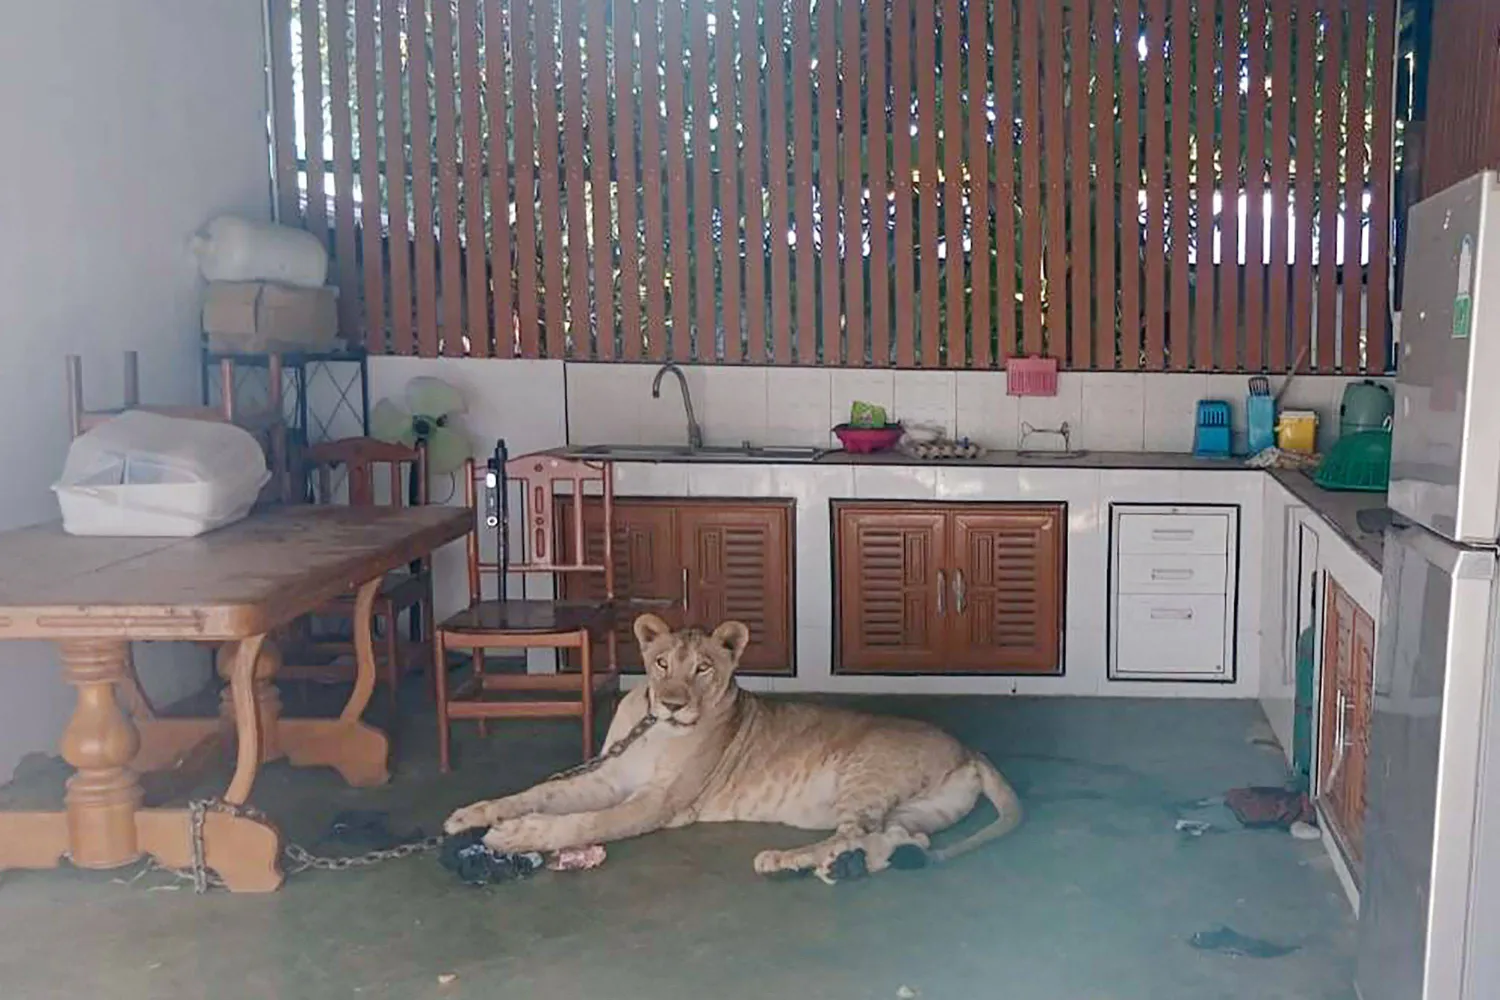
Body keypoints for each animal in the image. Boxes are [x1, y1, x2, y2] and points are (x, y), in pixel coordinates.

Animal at [444, 614, 1023, 880]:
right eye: (661, 663)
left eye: (703, 668)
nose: (673, 704)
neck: (655, 728)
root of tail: (969, 749)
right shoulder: (609, 776)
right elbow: (541, 792)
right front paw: (474, 814)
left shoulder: (658, 803)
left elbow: (586, 822)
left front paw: (516, 836)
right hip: (918, 810)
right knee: (898, 839)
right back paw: (841, 869)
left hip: (867, 777)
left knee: (853, 832)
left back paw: (785, 860)